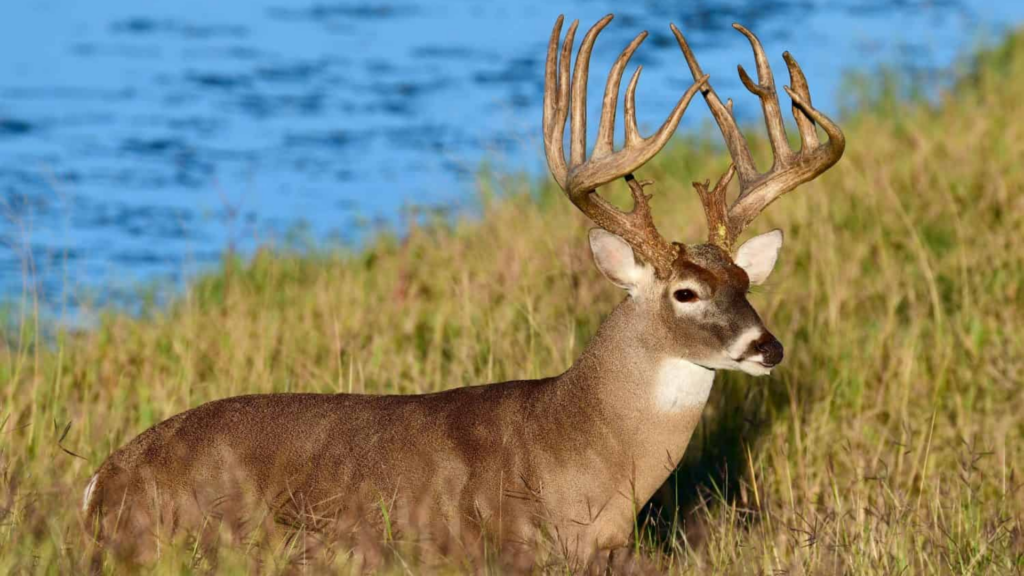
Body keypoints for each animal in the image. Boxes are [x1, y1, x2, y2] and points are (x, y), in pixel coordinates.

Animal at [82, 13, 844, 571]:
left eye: (743, 281)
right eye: (685, 292)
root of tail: (101, 483)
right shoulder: (504, 546)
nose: (767, 346)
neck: (580, 455)